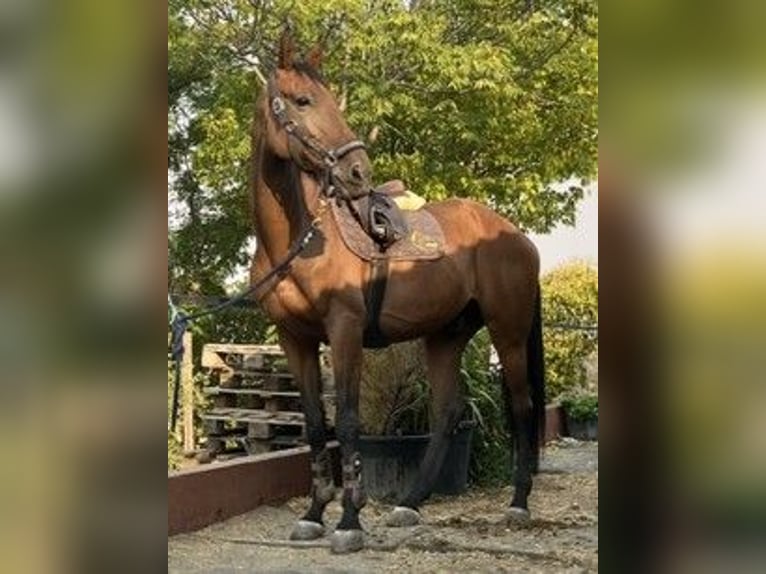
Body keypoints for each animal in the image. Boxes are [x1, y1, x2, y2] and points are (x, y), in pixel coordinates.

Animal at [249, 32, 545, 554]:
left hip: (508, 333)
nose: (357, 172)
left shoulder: (344, 331)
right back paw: (409, 503)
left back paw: (518, 504)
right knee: (446, 415)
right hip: (446, 336)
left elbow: (347, 422)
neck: (299, 240)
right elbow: (314, 422)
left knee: (522, 406)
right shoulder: (294, 339)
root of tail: (516, 235)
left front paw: (349, 521)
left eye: (329, 98)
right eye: (303, 101)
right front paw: (312, 514)